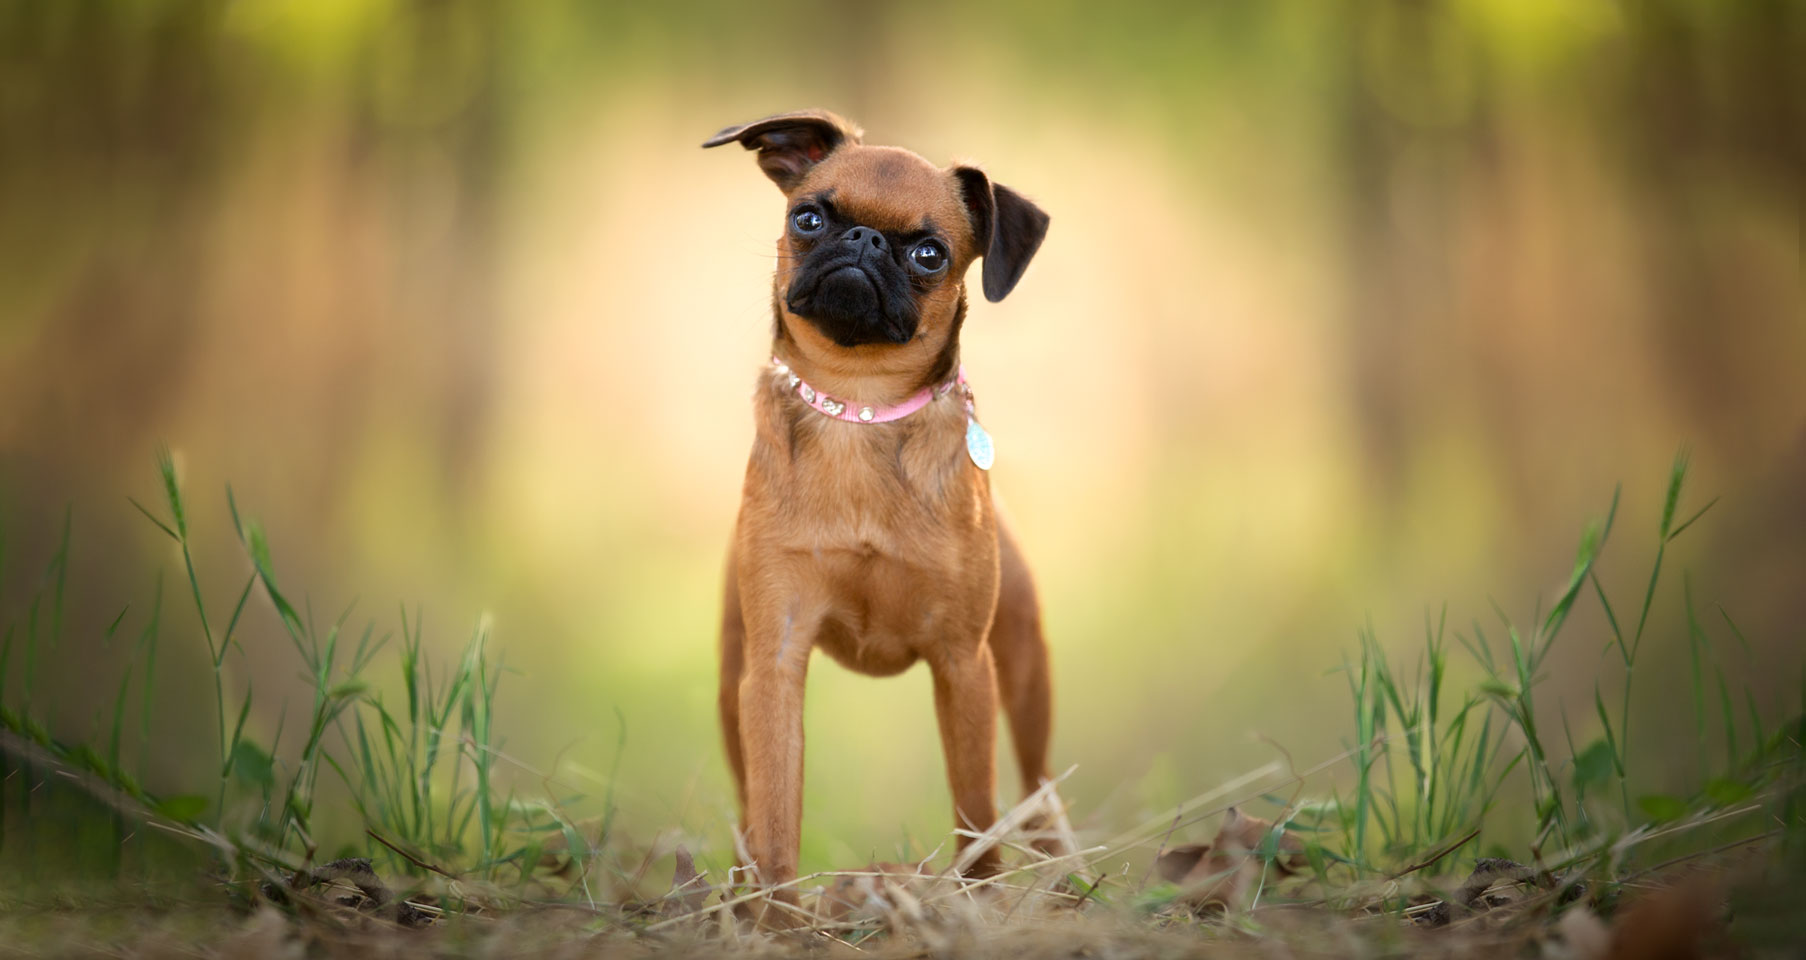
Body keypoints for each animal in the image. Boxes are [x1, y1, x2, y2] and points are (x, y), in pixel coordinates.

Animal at [697, 108, 1054, 909]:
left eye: (929, 253)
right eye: (808, 217)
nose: (861, 241)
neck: (860, 405)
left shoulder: (963, 666)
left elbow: (975, 812)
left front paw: (980, 902)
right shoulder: (775, 664)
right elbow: (775, 812)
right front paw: (778, 917)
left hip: (1025, 671)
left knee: (1041, 791)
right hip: (732, 689)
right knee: (745, 801)